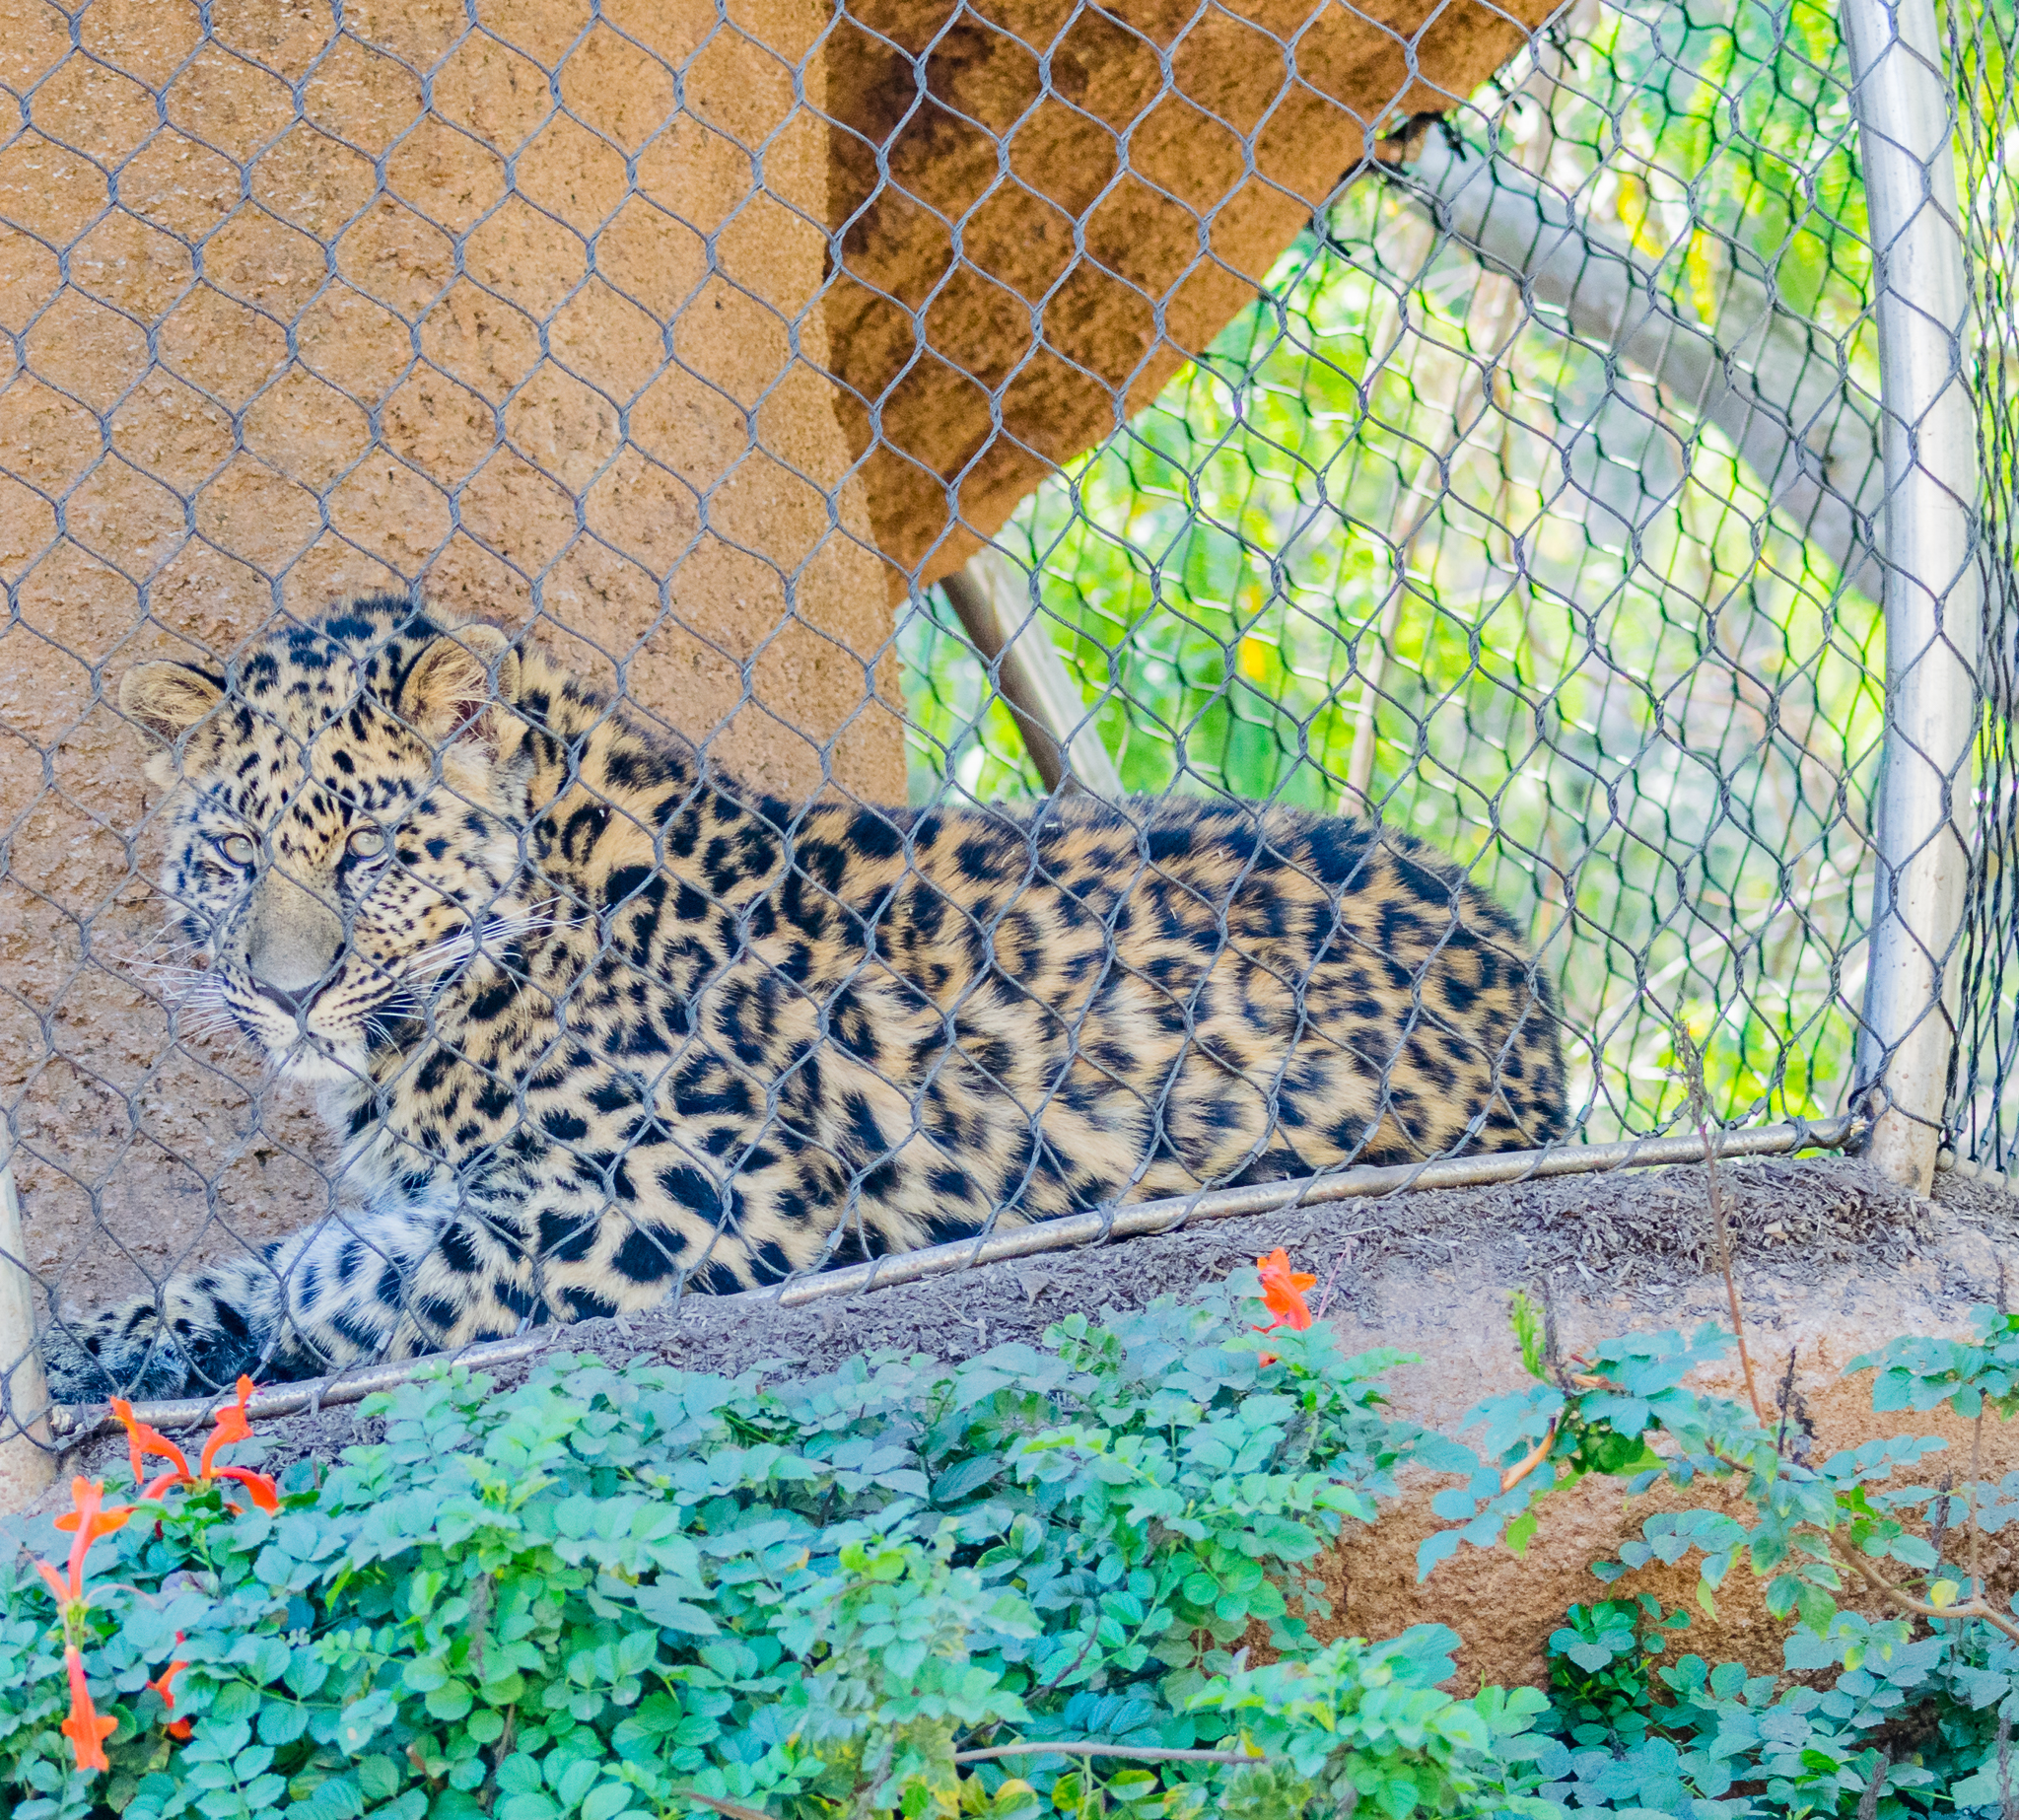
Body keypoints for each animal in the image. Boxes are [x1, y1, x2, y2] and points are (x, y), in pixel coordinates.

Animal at [43, 595, 1568, 1402]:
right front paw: (114, 1335)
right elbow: (295, 1250)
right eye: (232, 859)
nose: (286, 996)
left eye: (366, 850)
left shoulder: (691, 1203)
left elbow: (354, 1269)